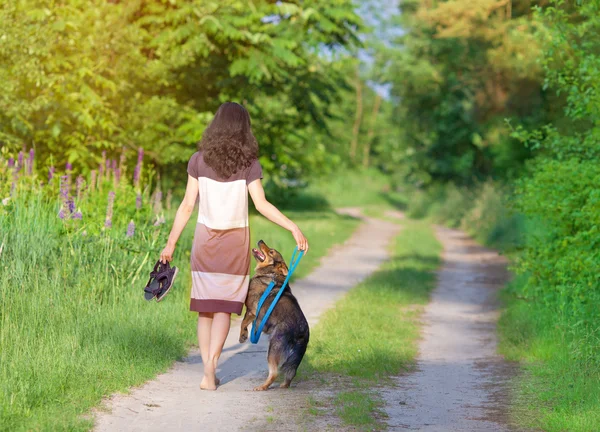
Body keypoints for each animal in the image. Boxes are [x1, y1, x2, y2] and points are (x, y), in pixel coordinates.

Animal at [239, 240, 310, 392]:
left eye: (271, 252)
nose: (260, 240)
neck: (271, 275)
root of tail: (301, 332)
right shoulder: (253, 314)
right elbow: (245, 323)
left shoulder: (252, 310)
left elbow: (243, 322)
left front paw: (242, 336)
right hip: (295, 357)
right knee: (291, 372)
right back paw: (284, 385)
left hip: (273, 348)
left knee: (274, 372)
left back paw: (262, 387)